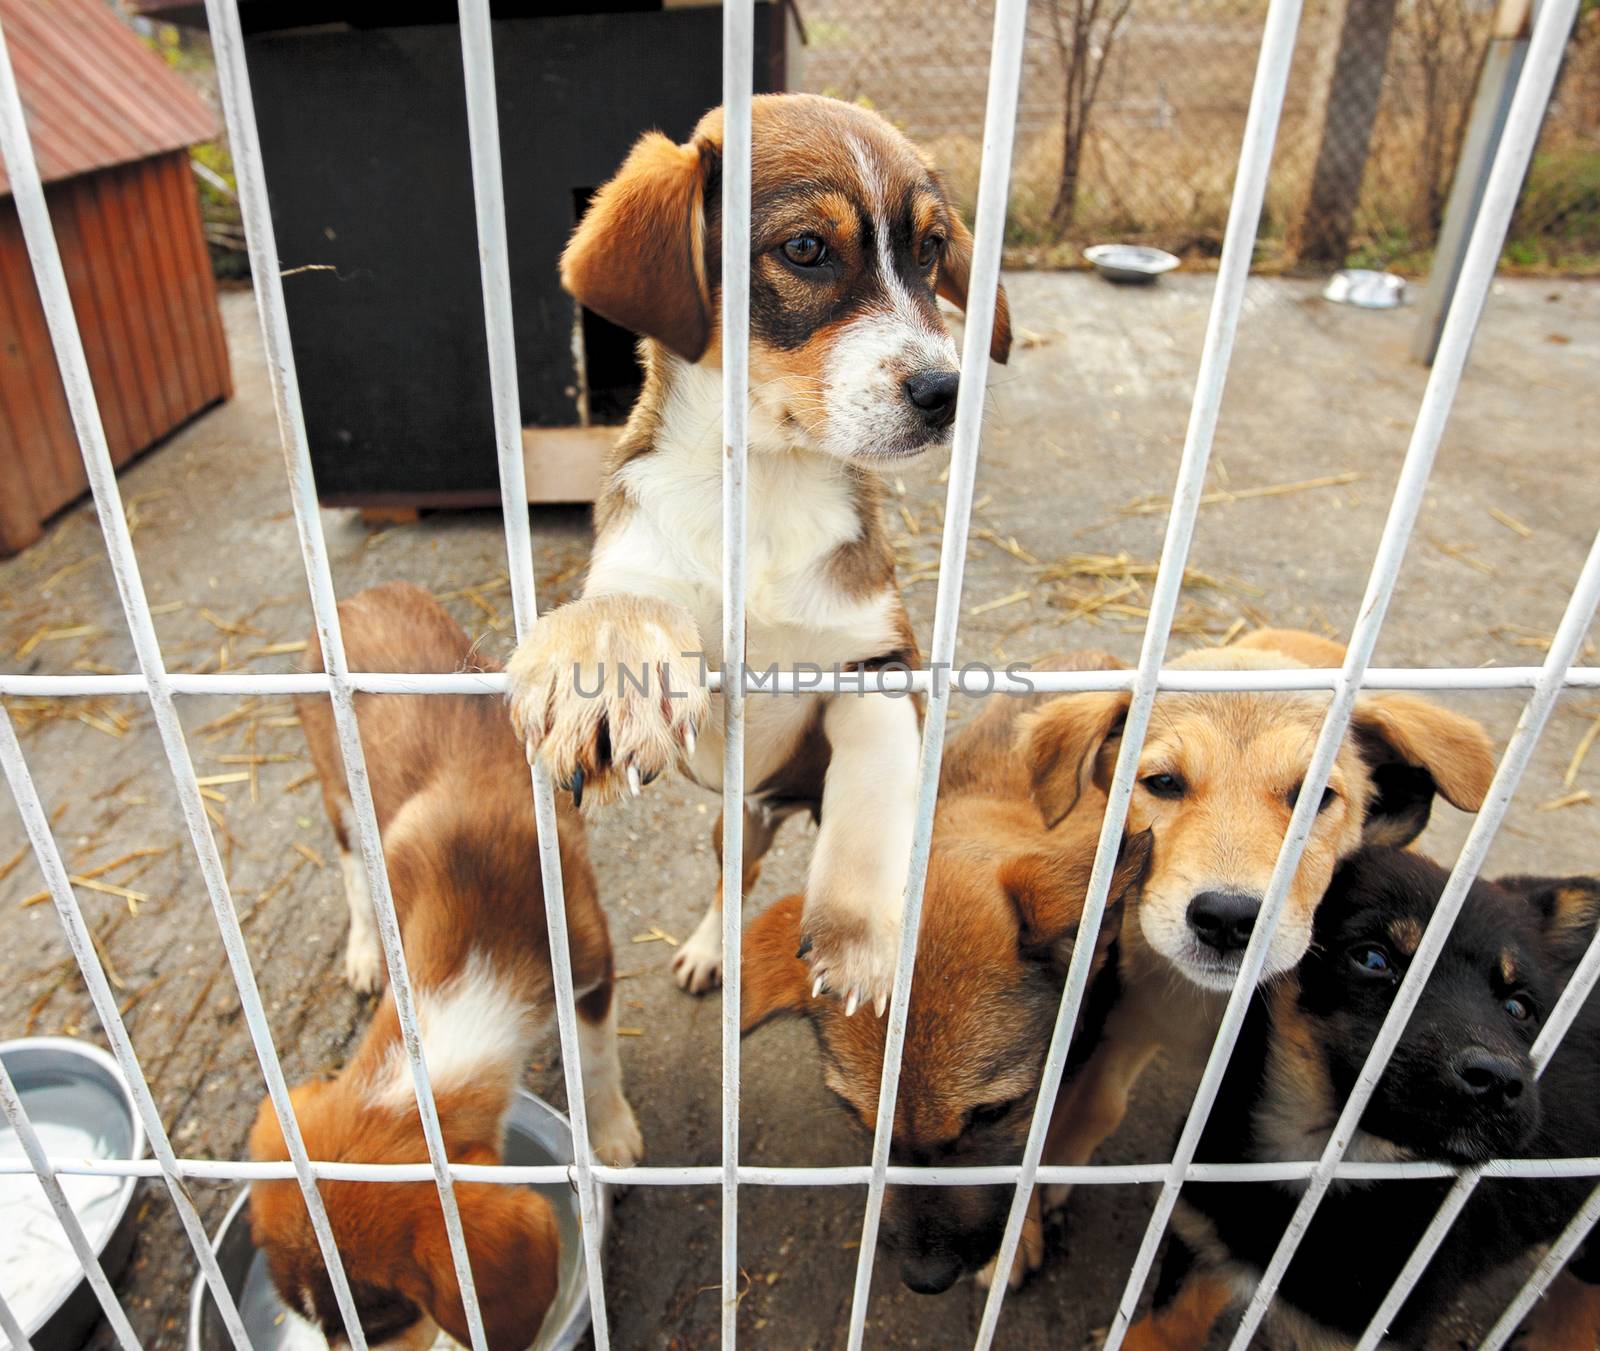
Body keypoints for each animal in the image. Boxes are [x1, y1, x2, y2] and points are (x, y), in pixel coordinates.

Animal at [249, 582, 636, 1351]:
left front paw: (610, 1135)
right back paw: (362, 951)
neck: (471, 953)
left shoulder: (591, 967)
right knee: (348, 864)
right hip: (336, 787)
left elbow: (598, 1061)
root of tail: (357, 595)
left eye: (385, 1320)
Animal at [508, 94, 1011, 1011]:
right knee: (726, 883)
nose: (947, 393)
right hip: (733, 817)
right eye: (805, 249)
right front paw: (604, 660)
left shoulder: (880, 661)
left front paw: (861, 932)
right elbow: (628, 601)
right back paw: (711, 952)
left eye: (929, 250)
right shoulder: (651, 573)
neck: (768, 488)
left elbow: (875, 776)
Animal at [1017, 624, 1491, 1235]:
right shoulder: (1131, 1017)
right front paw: (1053, 1177)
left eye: (1317, 796)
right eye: (1163, 782)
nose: (1228, 919)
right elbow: (1100, 1104)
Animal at [1126, 851, 1600, 1344]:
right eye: (1373, 959)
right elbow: (1159, 1329)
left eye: (1518, 1008)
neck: (1321, 1162)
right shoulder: (1204, 1243)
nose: (1497, 1081)